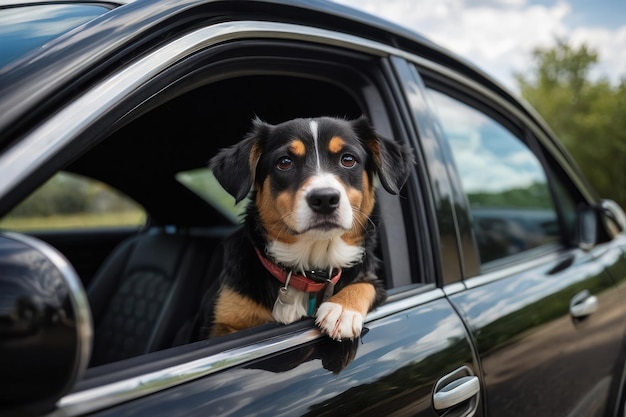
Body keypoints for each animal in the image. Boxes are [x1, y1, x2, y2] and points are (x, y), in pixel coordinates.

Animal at [193, 115, 412, 340]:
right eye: (284, 162)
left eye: (348, 159)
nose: (325, 199)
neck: (307, 269)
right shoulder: (219, 324)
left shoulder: (371, 280)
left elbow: (367, 284)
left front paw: (342, 310)